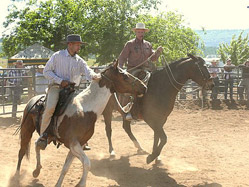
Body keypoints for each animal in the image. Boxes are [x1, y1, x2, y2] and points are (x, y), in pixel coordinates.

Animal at [15, 60, 146, 186]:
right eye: (125, 76)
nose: (144, 86)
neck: (85, 110)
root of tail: (33, 100)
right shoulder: (73, 143)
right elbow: (87, 162)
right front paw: (81, 183)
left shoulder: (79, 144)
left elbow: (66, 167)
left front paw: (59, 183)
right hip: (26, 130)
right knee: (22, 151)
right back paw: (16, 176)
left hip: (48, 136)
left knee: (37, 145)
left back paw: (36, 170)